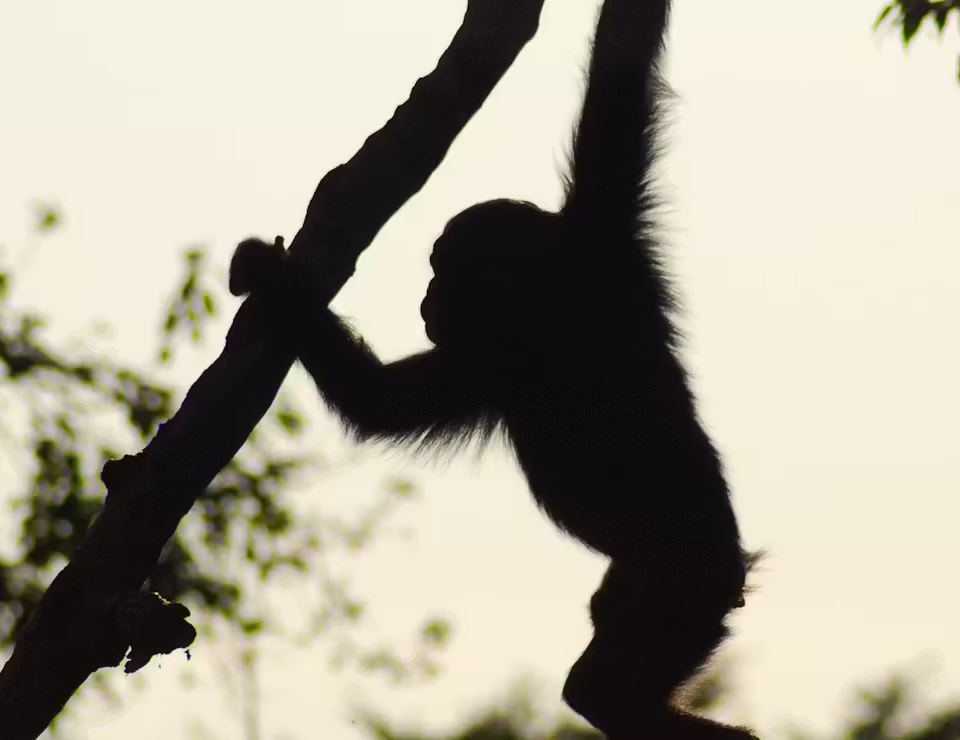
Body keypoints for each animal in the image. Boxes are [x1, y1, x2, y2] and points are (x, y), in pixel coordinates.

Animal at [230, 0, 757, 737]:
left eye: (443, 271)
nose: (426, 297)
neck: (542, 303)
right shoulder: (513, 335)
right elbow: (379, 402)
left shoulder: (589, 256)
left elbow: (619, 73)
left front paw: (274, 279)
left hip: (687, 582)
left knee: (603, 690)